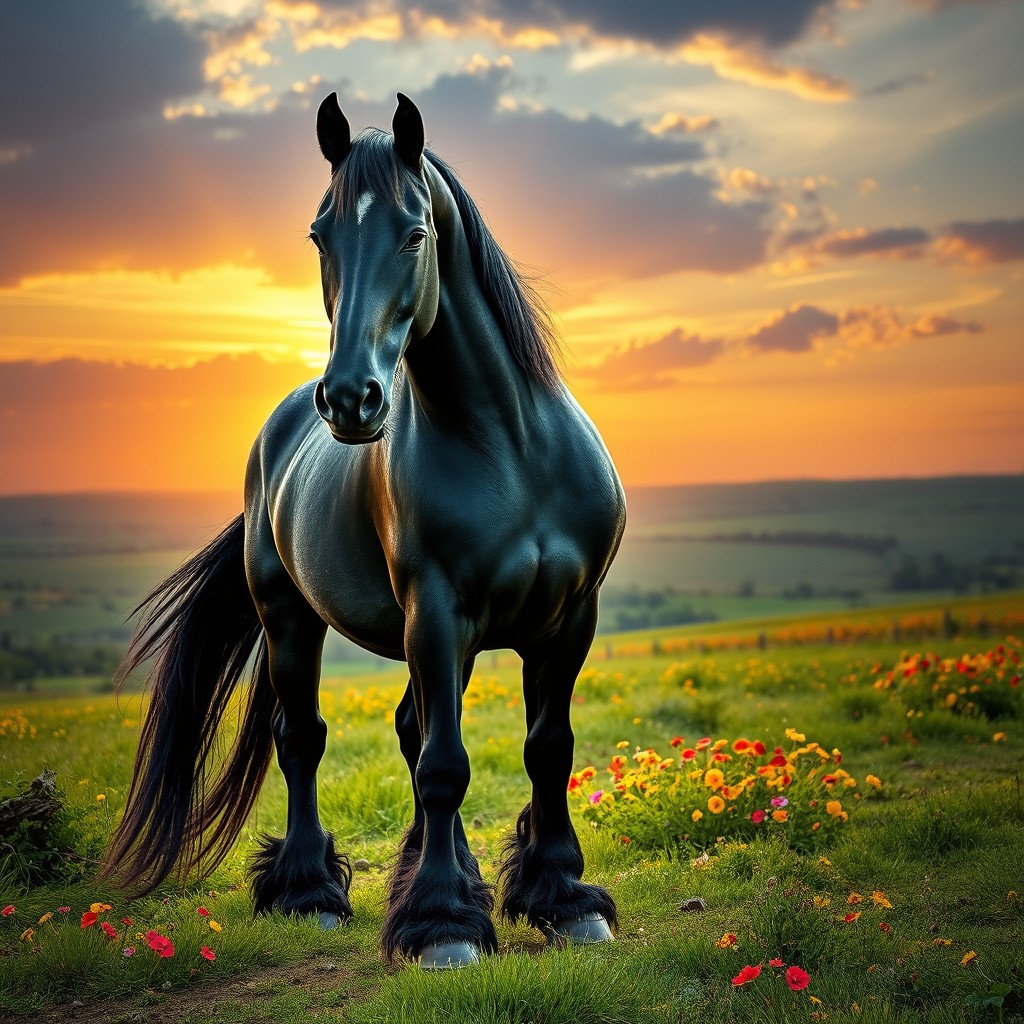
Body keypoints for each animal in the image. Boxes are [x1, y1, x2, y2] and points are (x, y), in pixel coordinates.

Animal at [101, 93, 626, 969]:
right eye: (321, 236)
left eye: (414, 233)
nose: (351, 399)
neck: (512, 448)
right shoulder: (436, 614)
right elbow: (445, 765)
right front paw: (444, 923)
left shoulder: (566, 619)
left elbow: (547, 749)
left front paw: (563, 899)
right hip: (291, 618)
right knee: (305, 739)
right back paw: (311, 892)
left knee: (412, 732)